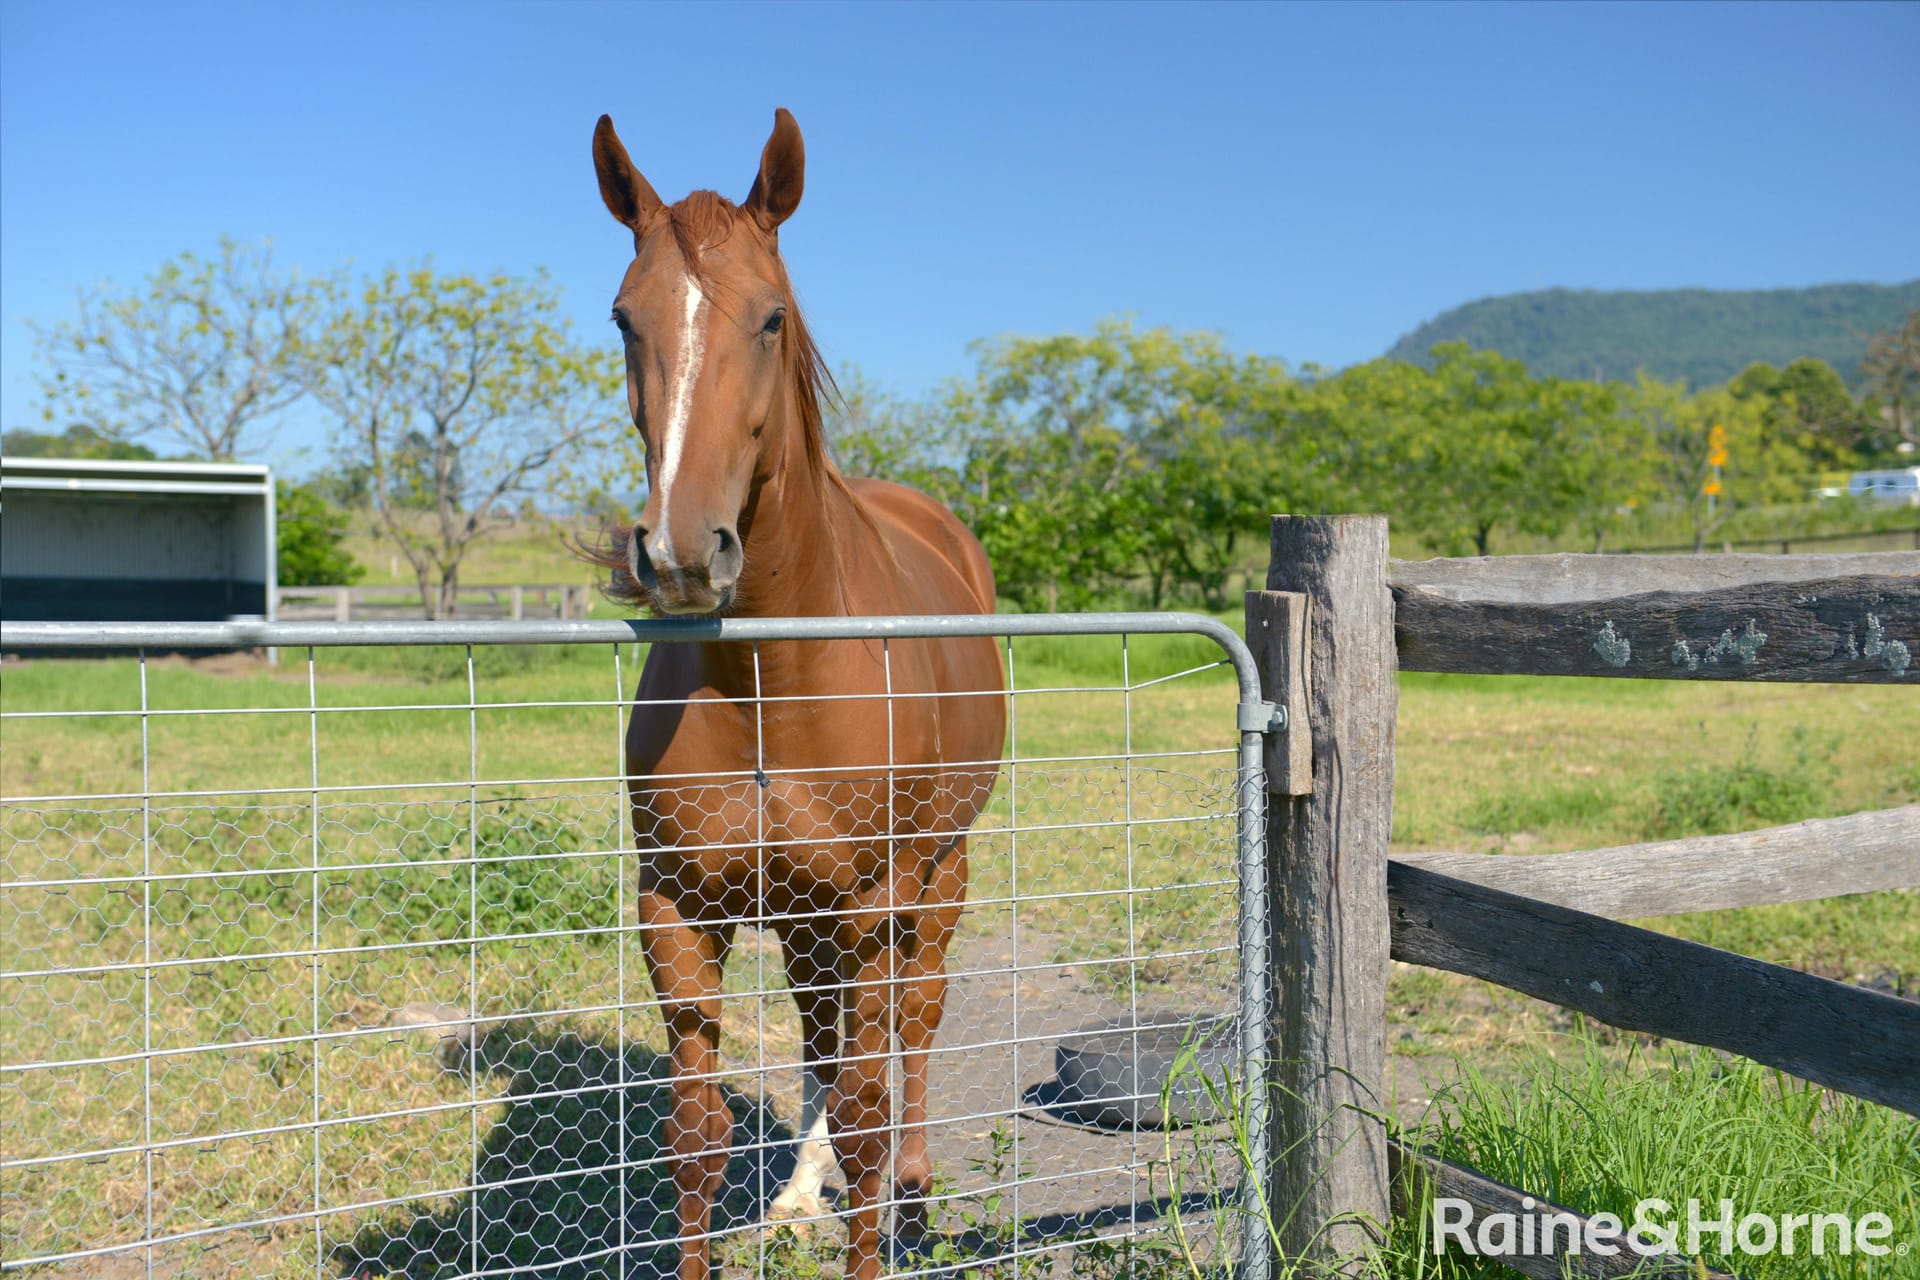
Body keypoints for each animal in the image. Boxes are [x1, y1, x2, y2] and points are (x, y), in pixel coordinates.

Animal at [583, 110, 1006, 1280]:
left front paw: (869, 1197)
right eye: (625, 317)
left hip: (934, 877)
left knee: (912, 1021)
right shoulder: (680, 912)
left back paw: (910, 1191)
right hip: (804, 917)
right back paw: (797, 1193)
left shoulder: (870, 905)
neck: (772, 681)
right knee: (824, 1034)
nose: (684, 553)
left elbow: (865, 1113)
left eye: (771, 318)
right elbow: (694, 1142)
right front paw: (789, 1193)